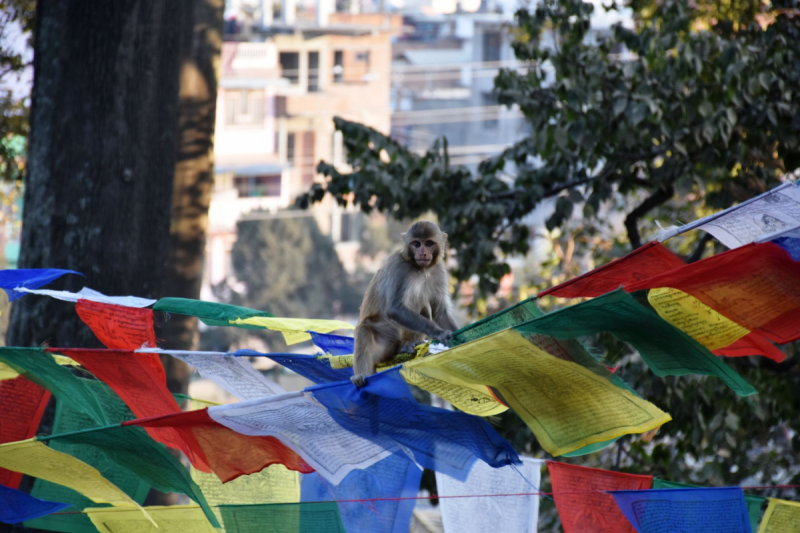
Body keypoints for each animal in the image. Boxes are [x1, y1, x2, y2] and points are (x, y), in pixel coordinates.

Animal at [350, 220, 456, 386]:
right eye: (416, 244)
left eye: (429, 243)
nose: (422, 253)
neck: (422, 270)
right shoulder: (400, 268)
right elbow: (394, 308)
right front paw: (437, 332)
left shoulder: (438, 271)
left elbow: (440, 311)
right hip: (381, 347)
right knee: (364, 331)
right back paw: (360, 375)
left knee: (424, 308)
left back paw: (404, 347)